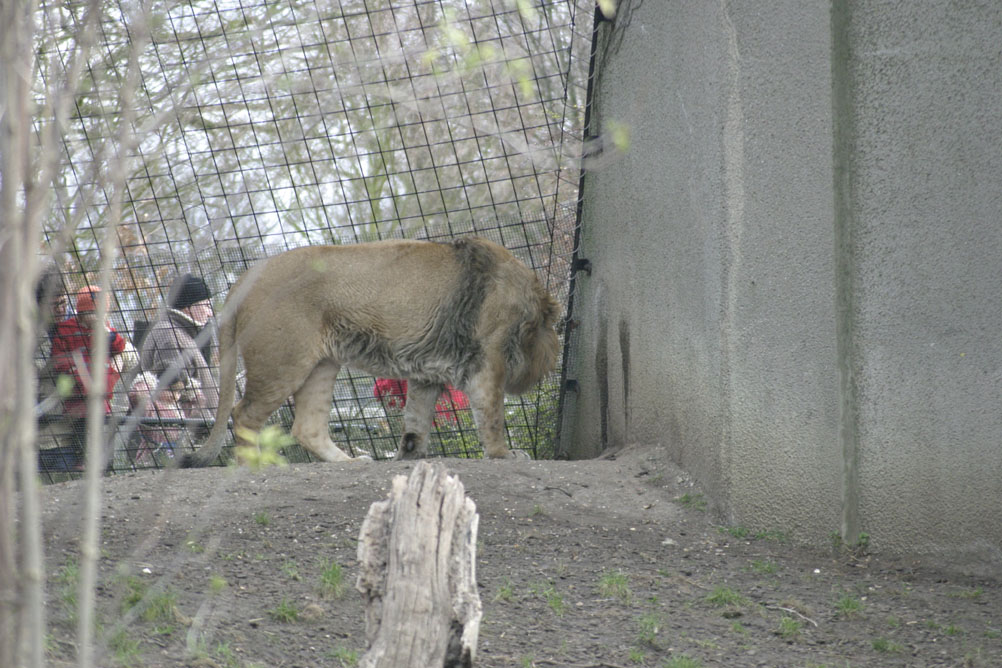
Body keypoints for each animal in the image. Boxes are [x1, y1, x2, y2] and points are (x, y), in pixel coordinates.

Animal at [180, 236, 561, 467]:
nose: (550, 362)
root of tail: (245, 277)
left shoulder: (427, 373)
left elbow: (416, 420)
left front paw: (409, 455)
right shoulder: (489, 358)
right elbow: (492, 415)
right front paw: (505, 455)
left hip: (322, 364)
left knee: (307, 426)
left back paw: (348, 461)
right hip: (283, 362)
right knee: (243, 414)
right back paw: (253, 466)